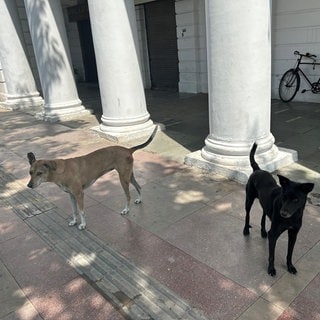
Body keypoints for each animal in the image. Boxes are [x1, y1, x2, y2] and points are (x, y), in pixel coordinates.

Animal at [27, 126, 158, 229]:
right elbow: (74, 211)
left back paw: (126, 210)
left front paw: (83, 225)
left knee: (128, 195)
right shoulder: (71, 195)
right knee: (139, 186)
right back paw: (139, 200)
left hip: (123, 179)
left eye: (39, 173)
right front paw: (74, 221)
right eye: (30, 172)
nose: (29, 185)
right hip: (129, 176)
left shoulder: (79, 194)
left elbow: (81, 211)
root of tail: (128, 149)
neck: (61, 171)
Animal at [244, 144, 314, 276]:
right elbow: (272, 255)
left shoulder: (293, 233)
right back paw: (246, 230)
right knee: (247, 215)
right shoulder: (274, 234)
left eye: (296, 200)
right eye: (284, 197)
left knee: (263, 215)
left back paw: (263, 231)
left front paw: (290, 267)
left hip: (264, 204)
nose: (283, 213)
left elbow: (289, 253)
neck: (292, 218)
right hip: (249, 199)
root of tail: (257, 169)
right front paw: (271, 269)